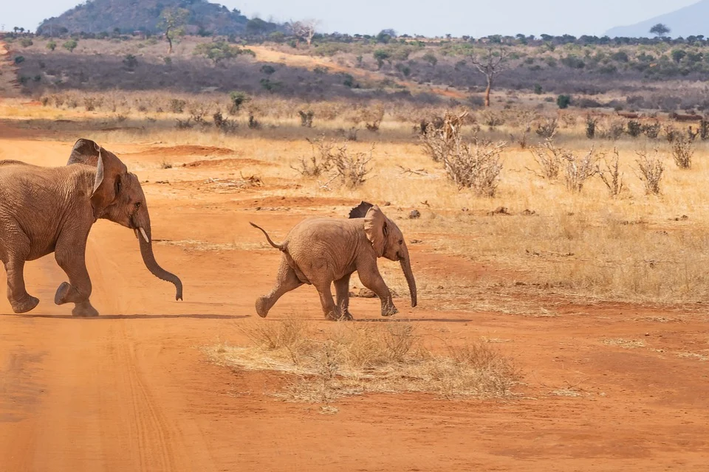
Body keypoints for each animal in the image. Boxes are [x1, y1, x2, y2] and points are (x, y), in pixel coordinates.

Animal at [0, 138, 182, 316]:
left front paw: (85, 313)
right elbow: (67, 254)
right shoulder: (79, 208)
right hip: (5, 218)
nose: (178, 298)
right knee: (19, 248)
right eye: (137, 204)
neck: (97, 174)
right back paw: (28, 306)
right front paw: (62, 294)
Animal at [250, 201, 417, 320]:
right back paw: (333, 317)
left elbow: (342, 282)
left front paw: (348, 318)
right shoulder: (365, 248)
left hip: (291, 258)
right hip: (313, 257)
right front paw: (393, 313)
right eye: (400, 241)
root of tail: (287, 241)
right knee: (322, 284)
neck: (368, 220)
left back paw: (260, 310)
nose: (413, 306)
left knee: (285, 283)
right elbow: (368, 277)